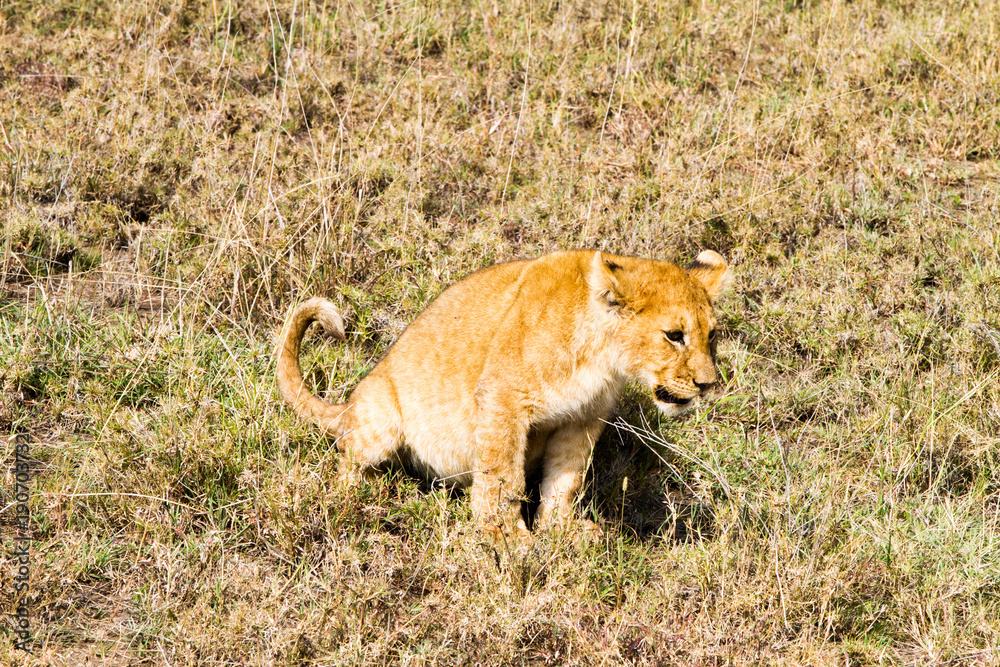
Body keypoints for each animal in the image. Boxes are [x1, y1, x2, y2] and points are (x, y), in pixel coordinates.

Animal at [276, 249, 732, 534]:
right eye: (673, 335)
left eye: (711, 335)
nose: (708, 384)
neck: (602, 360)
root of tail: (347, 406)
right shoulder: (502, 400)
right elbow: (502, 478)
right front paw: (508, 540)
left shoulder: (583, 418)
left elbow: (564, 479)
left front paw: (560, 531)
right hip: (380, 419)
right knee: (348, 460)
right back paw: (356, 498)